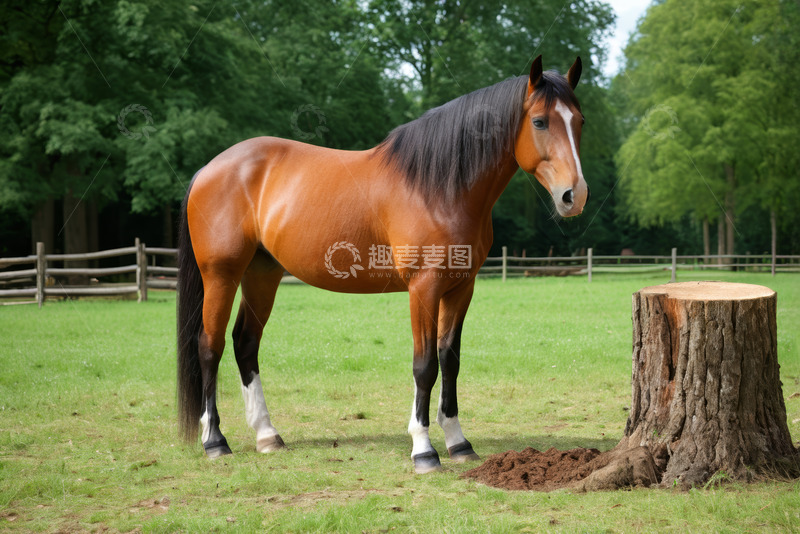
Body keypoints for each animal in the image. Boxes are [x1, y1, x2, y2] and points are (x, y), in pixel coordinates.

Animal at [176, 55, 587, 474]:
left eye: (580, 121)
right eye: (539, 121)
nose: (575, 195)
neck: (438, 188)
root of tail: (209, 169)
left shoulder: (461, 287)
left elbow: (450, 360)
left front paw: (458, 442)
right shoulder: (424, 287)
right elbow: (425, 365)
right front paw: (424, 449)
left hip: (262, 273)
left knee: (245, 343)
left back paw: (267, 435)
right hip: (222, 275)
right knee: (209, 346)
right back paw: (215, 440)